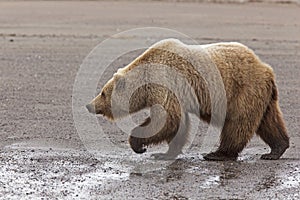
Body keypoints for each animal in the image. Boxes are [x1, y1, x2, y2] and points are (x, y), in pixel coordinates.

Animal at [85, 38, 290, 161]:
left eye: (102, 93)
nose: (89, 105)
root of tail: (266, 69)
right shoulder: (177, 96)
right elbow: (178, 124)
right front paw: (166, 153)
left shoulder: (166, 85)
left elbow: (165, 120)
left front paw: (138, 145)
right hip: (262, 95)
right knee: (269, 121)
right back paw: (276, 149)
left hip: (242, 90)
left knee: (237, 124)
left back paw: (218, 153)